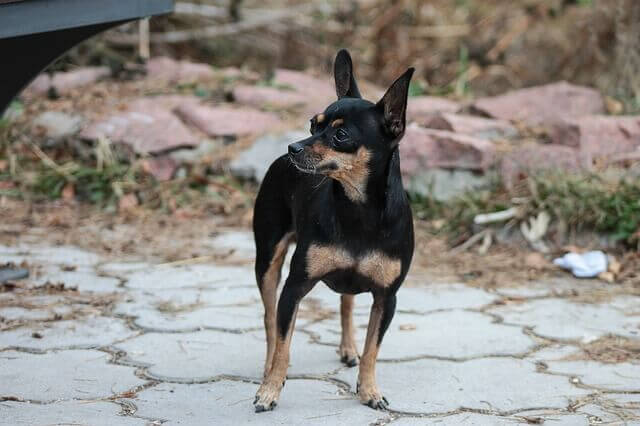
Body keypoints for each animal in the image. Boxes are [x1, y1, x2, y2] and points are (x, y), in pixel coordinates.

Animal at [252, 50, 412, 412]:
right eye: (313, 124)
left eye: (341, 136)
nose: (293, 148)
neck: (357, 209)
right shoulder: (294, 289)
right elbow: (283, 344)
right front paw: (270, 390)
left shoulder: (387, 298)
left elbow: (372, 350)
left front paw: (369, 390)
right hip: (267, 260)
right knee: (269, 320)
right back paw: (266, 368)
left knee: (347, 303)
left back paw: (348, 348)